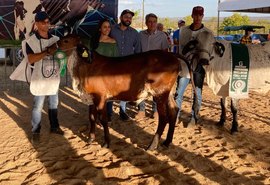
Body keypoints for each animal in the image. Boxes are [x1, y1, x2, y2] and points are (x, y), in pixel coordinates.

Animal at [55, 34, 186, 150]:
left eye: (66, 40)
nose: (55, 44)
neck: (86, 67)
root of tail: (171, 55)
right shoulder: (90, 98)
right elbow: (91, 117)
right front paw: (90, 139)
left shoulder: (100, 98)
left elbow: (103, 119)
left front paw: (106, 142)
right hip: (168, 94)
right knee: (174, 111)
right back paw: (167, 142)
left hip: (159, 94)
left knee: (163, 118)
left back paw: (152, 146)